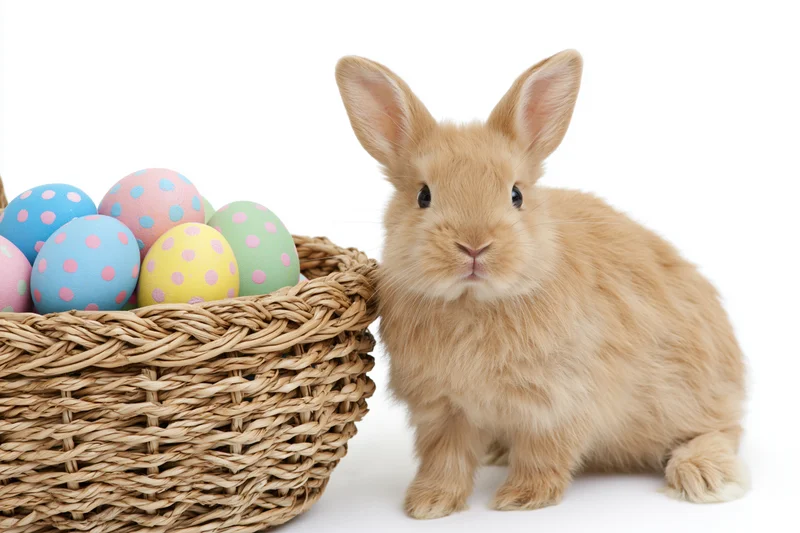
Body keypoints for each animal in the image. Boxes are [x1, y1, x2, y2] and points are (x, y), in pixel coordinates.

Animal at [334, 49, 747, 519]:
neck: (473, 302)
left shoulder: (556, 404)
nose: (474, 245)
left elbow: (542, 453)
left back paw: (705, 476)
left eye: (516, 195)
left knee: (721, 429)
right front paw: (429, 504)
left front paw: (521, 498)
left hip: (688, 393)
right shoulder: (444, 410)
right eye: (424, 195)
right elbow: (445, 458)